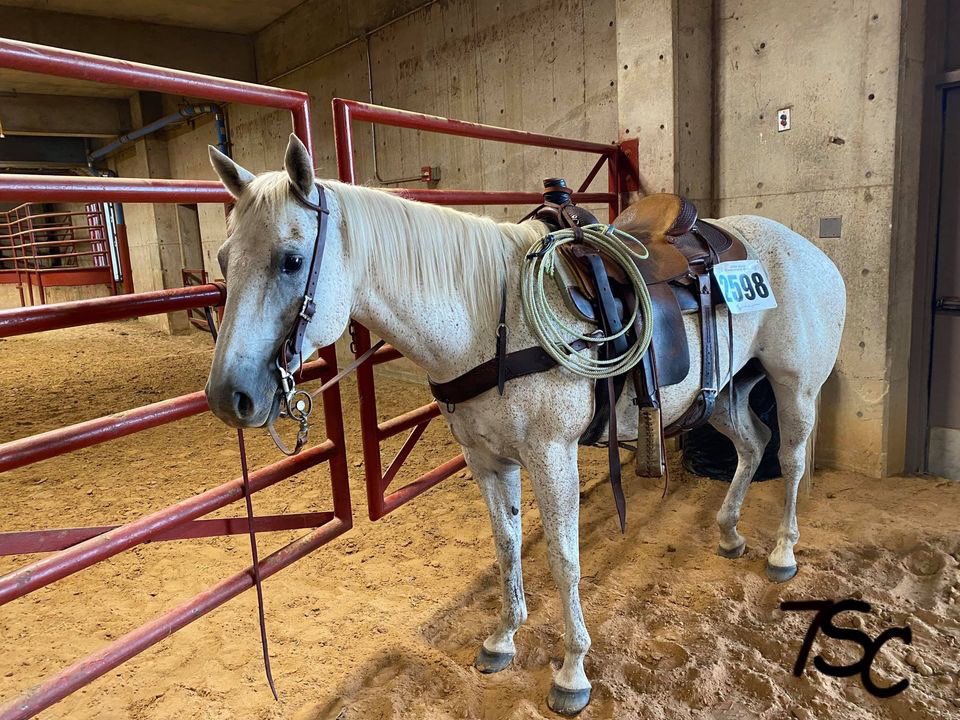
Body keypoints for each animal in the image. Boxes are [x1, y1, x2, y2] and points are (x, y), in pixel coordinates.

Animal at [204, 134, 846, 715]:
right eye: (223, 260)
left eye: (291, 260)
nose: (229, 396)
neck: (491, 316)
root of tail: (811, 253)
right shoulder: (488, 459)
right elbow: (507, 544)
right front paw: (502, 638)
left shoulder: (551, 454)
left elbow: (563, 559)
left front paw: (572, 671)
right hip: (724, 392)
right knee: (752, 446)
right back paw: (730, 534)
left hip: (794, 386)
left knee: (789, 460)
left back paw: (782, 553)